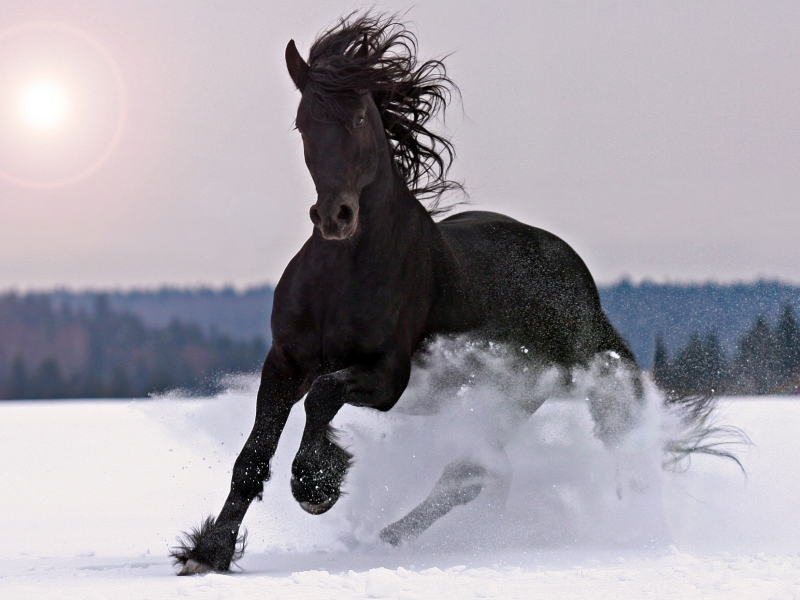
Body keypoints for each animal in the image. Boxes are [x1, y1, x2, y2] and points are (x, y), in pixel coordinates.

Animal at [172, 15, 648, 576]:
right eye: (302, 123)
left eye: (359, 117)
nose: (335, 217)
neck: (343, 275)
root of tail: (581, 283)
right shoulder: (285, 362)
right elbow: (251, 457)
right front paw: (208, 553)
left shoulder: (388, 375)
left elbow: (323, 396)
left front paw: (316, 485)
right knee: (475, 473)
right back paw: (391, 536)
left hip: (515, 395)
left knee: (470, 472)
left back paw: (389, 537)